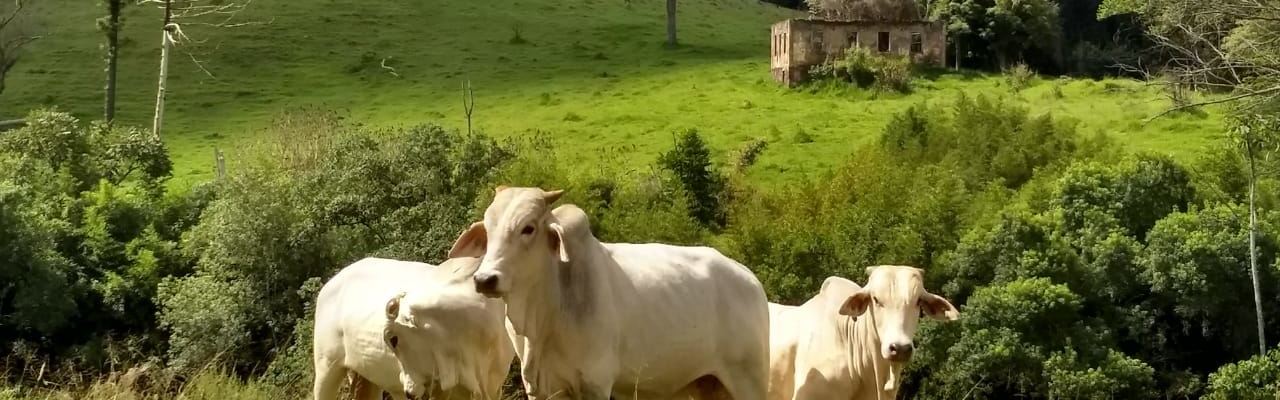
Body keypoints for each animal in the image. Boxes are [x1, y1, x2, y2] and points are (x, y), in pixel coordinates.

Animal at [448, 186, 770, 400]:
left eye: (528, 228)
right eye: (488, 230)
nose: (485, 279)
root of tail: (750, 281)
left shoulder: (596, 383)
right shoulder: (541, 389)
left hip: (749, 380)